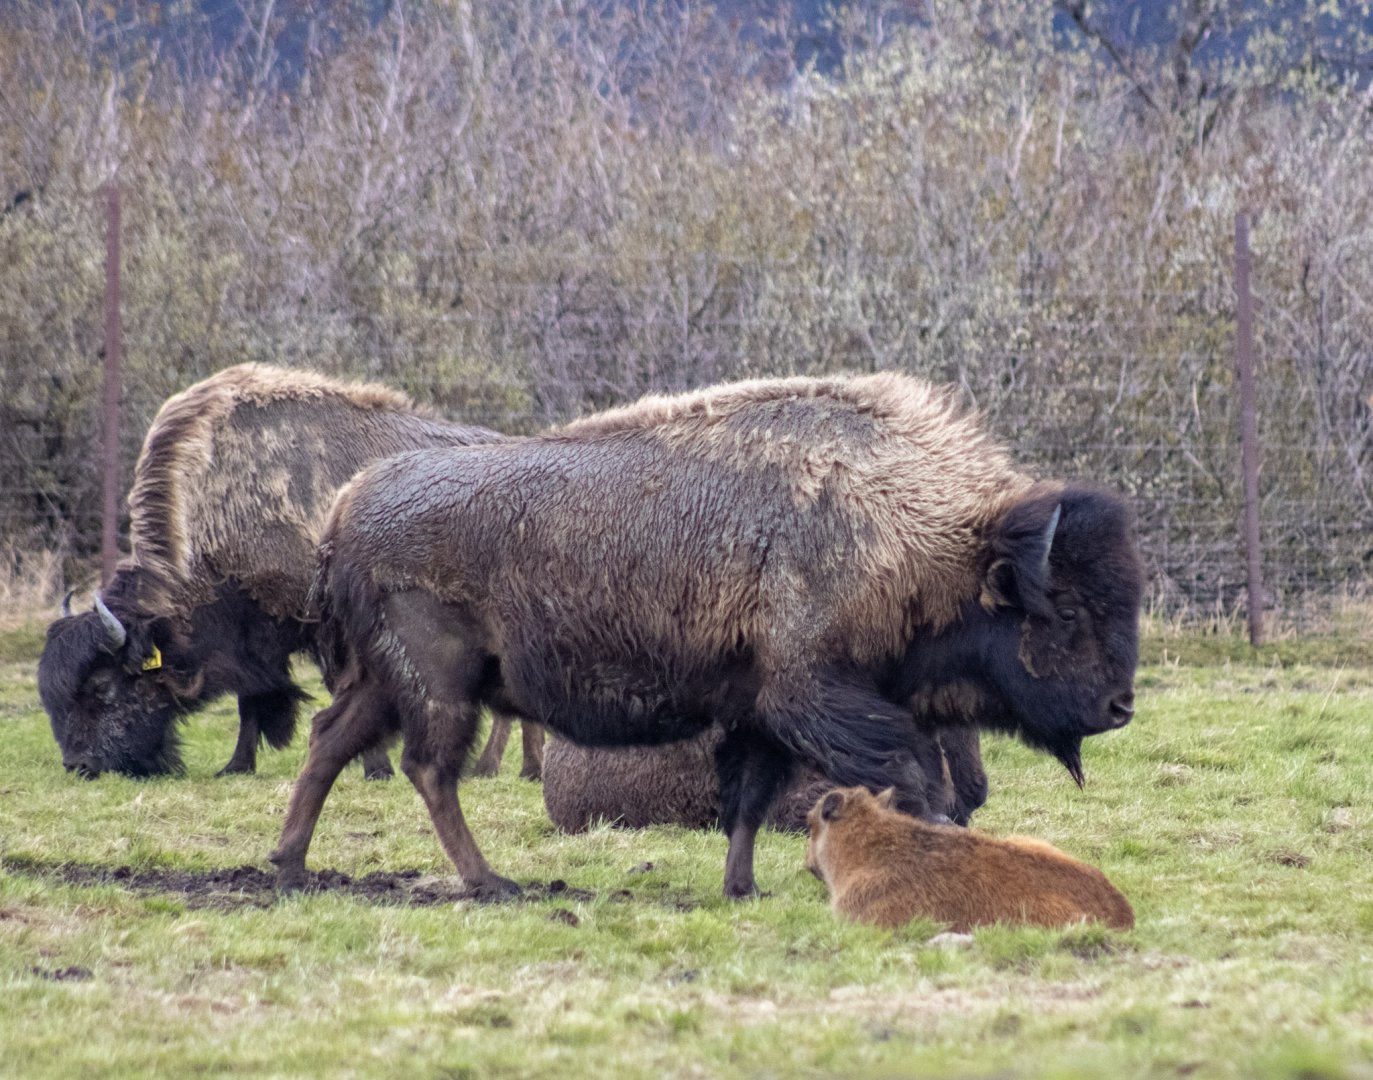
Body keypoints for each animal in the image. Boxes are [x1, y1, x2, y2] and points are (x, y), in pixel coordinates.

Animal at [270, 373, 1142, 899]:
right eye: (1064, 610)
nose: (1118, 706)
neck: (912, 533)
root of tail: (346, 505)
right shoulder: (814, 699)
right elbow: (912, 777)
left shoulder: (759, 714)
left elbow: (749, 800)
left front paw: (741, 886)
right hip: (440, 685)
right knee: (427, 768)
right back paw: (488, 882)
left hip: (385, 682)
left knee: (330, 739)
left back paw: (288, 864)